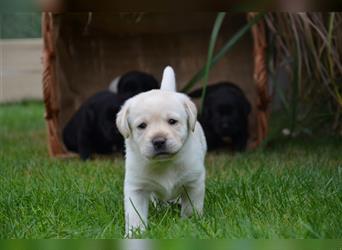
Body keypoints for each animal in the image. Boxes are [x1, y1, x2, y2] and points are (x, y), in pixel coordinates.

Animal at [116, 66, 207, 236]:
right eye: (142, 125)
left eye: (172, 121)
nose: (158, 141)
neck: (164, 163)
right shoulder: (136, 187)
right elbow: (134, 214)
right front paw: (135, 233)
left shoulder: (193, 182)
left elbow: (191, 207)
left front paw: (191, 225)